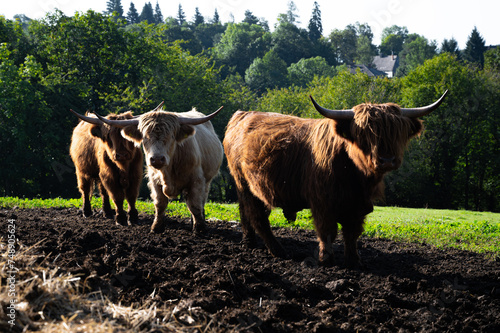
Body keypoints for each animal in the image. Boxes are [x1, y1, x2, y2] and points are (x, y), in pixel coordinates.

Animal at [94, 105, 224, 232]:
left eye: (172, 136)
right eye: (144, 137)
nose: (157, 159)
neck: (168, 172)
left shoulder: (196, 180)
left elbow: (195, 205)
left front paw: (199, 229)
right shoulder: (154, 180)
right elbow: (160, 204)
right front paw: (156, 227)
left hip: (207, 181)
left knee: (201, 201)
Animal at [225, 91, 448, 268]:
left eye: (396, 133)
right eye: (366, 135)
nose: (387, 160)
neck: (356, 178)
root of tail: (243, 114)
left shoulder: (359, 206)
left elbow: (352, 233)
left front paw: (354, 261)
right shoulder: (322, 202)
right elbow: (327, 230)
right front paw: (326, 259)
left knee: (245, 212)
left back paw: (249, 243)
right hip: (244, 183)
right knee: (257, 217)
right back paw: (279, 251)